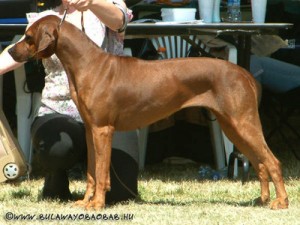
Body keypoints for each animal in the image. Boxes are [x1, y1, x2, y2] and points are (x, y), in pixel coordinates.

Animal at [8, 15, 288, 209]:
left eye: (28, 36)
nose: (9, 51)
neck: (87, 64)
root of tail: (243, 72)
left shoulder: (103, 130)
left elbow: (101, 171)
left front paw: (97, 205)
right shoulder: (90, 130)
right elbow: (91, 172)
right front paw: (87, 201)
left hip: (243, 123)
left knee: (272, 161)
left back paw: (281, 202)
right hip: (233, 126)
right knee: (260, 163)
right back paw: (262, 199)